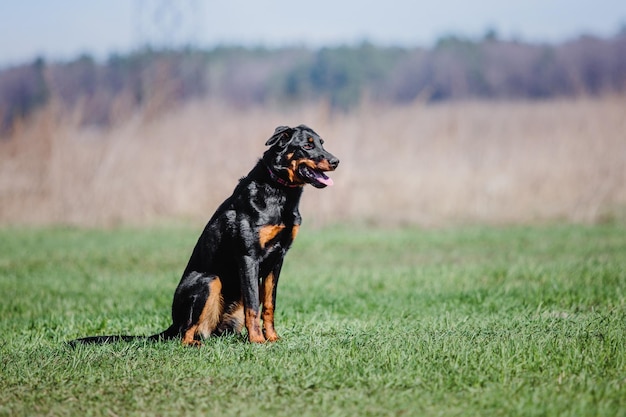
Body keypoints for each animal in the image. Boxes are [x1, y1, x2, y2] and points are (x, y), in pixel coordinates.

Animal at [69, 123, 336, 344]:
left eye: (322, 142)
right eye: (307, 146)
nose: (336, 161)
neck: (279, 191)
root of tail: (171, 325)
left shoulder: (277, 259)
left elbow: (268, 304)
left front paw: (271, 338)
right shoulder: (249, 257)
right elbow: (254, 305)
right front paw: (258, 341)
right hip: (209, 281)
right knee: (185, 333)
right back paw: (194, 343)